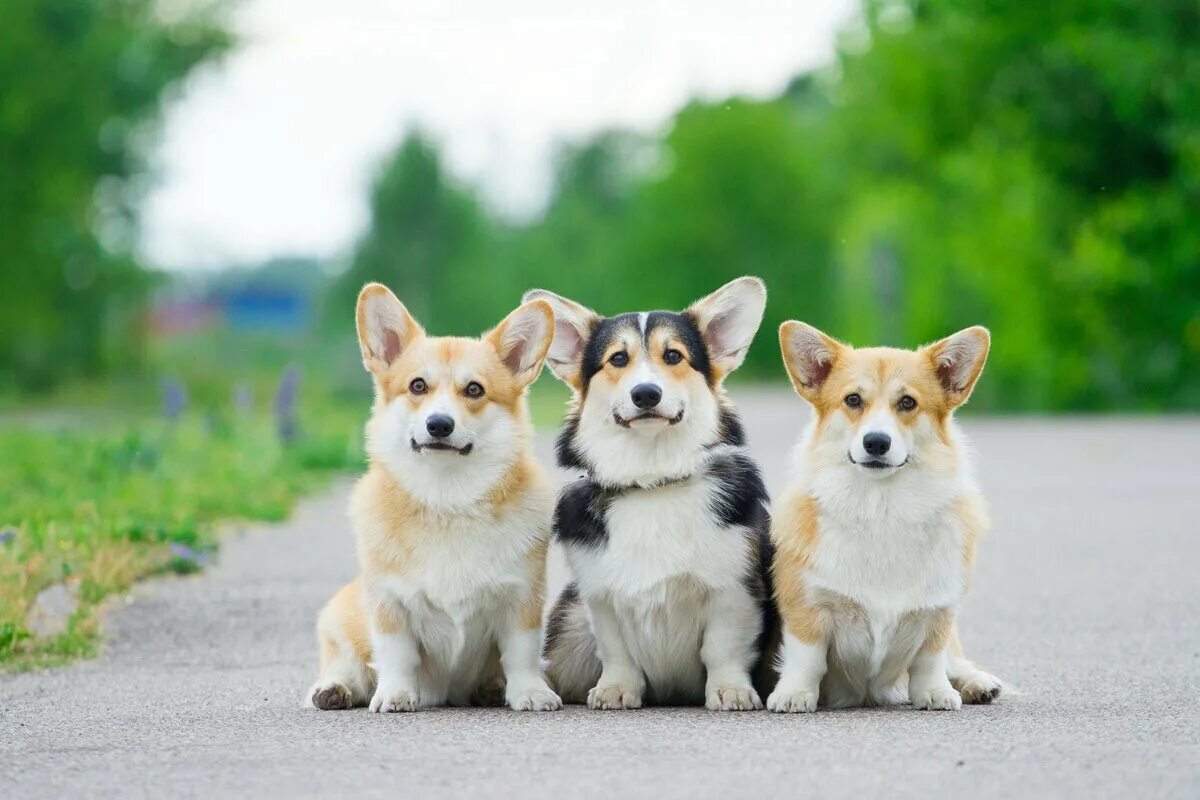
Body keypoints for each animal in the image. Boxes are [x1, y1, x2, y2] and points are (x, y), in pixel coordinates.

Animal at [302, 286, 559, 714]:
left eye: (474, 390)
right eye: (418, 386)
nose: (439, 425)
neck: (447, 500)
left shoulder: (522, 600)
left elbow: (521, 654)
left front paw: (531, 693)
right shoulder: (389, 604)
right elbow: (397, 655)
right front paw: (395, 694)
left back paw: (491, 688)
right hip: (339, 618)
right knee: (344, 665)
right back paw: (333, 689)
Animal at [528, 278, 772, 710]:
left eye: (673, 355)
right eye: (618, 359)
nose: (646, 394)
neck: (653, 480)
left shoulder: (733, 592)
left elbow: (722, 649)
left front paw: (730, 690)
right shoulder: (601, 599)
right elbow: (617, 651)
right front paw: (615, 690)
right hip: (570, 620)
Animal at [768, 321, 1003, 710]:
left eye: (907, 402)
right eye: (853, 400)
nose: (876, 442)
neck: (881, 505)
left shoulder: (939, 610)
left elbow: (930, 659)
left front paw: (935, 693)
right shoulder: (808, 604)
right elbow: (807, 657)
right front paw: (794, 694)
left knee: (956, 660)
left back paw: (977, 683)